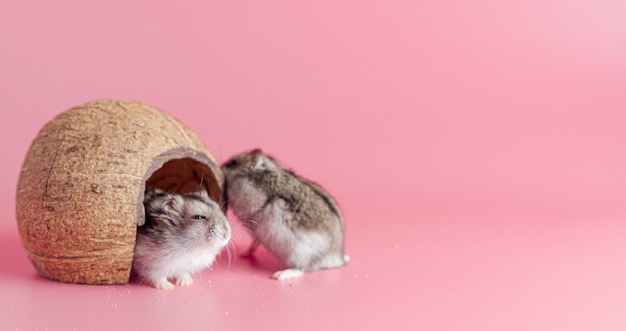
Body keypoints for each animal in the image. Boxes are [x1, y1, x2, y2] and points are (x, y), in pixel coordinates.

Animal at [221, 149, 348, 282]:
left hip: (299, 253)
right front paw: (243, 254)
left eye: (232, 162)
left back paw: (280, 275)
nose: (221, 166)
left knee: (300, 269)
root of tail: (337, 258)